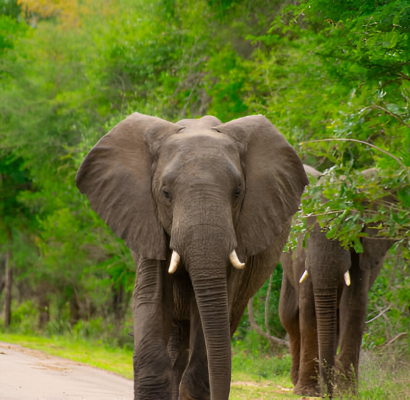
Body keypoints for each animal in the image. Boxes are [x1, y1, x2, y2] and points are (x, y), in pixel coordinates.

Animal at [280, 166, 396, 396]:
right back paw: (297, 381)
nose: (328, 394)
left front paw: (346, 392)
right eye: (306, 231)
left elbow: (353, 306)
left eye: (348, 230)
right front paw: (308, 392)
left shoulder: (362, 249)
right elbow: (308, 308)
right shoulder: (301, 255)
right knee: (289, 317)